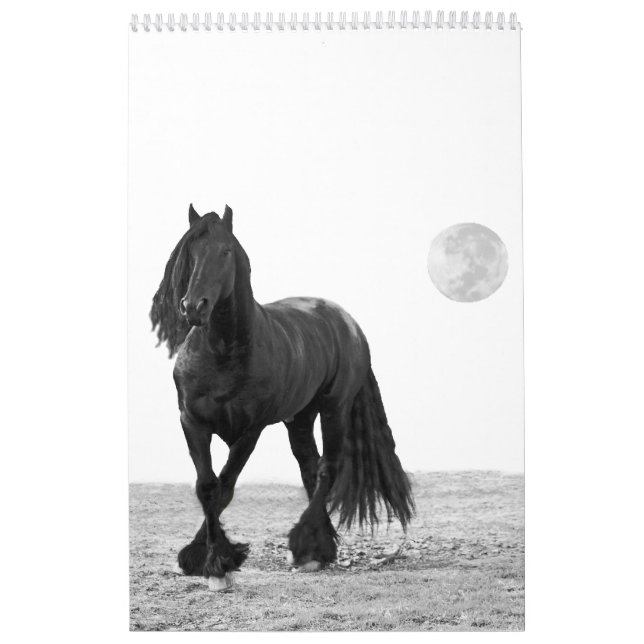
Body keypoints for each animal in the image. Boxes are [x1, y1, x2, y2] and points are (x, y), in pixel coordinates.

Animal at [150, 204, 414, 591]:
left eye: (225, 251)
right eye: (191, 253)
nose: (193, 307)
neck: (223, 352)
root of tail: (347, 322)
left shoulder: (250, 431)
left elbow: (225, 487)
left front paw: (219, 565)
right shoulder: (192, 423)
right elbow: (208, 487)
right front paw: (201, 559)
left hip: (334, 409)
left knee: (327, 469)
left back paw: (307, 549)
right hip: (300, 418)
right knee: (309, 467)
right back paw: (320, 546)